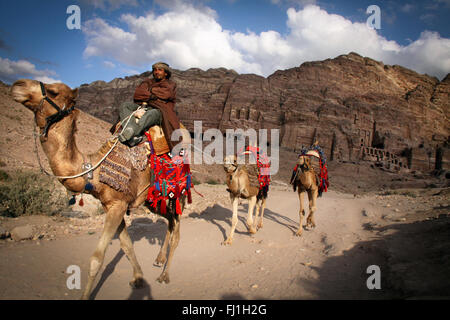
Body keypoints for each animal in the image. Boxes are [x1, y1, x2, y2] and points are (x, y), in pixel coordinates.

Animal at [10, 79, 187, 298]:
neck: (94, 171)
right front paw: (138, 278)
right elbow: (126, 245)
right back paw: (159, 259)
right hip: (153, 200)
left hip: (177, 193)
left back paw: (164, 275)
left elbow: (96, 258)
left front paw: (85, 296)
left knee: (177, 229)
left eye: (53, 91)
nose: (18, 85)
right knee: (169, 222)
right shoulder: (111, 205)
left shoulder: (118, 205)